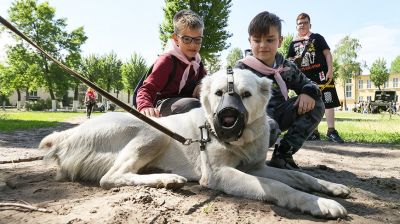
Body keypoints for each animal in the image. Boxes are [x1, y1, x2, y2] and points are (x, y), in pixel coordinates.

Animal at [39, 68, 348, 219]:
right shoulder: (219, 174)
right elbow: (278, 186)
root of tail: (67, 135)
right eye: (219, 93)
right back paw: (166, 180)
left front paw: (330, 188)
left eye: (245, 95)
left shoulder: (256, 168)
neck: (240, 140)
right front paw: (318, 204)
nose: (226, 116)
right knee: (110, 177)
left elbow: (299, 176)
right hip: (155, 133)